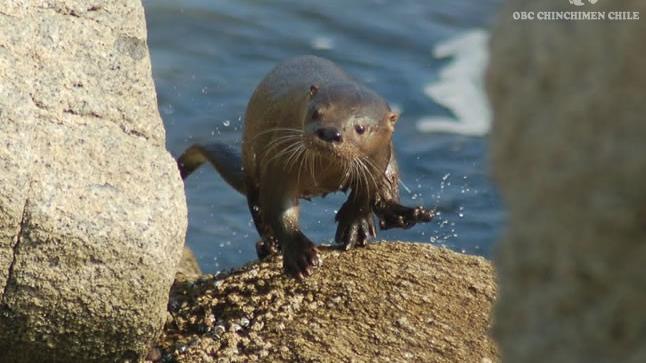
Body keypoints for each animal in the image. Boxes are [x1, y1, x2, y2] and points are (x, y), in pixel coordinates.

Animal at [178, 56, 436, 278]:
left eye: (361, 128)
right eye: (316, 112)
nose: (330, 132)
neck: (325, 174)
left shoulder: (377, 159)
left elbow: (365, 194)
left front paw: (354, 224)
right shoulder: (280, 163)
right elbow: (279, 207)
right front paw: (300, 254)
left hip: (389, 162)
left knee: (386, 190)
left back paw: (405, 214)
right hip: (252, 168)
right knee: (258, 208)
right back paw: (269, 246)